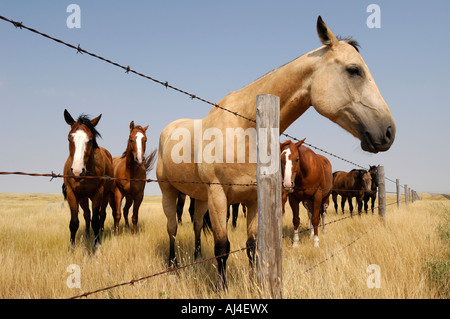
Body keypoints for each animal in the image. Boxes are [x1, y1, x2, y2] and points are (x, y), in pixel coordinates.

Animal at [62, 110, 113, 252]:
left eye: (90, 139)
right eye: (69, 138)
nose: (77, 171)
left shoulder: (97, 193)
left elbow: (96, 220)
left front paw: (97, 247)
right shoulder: (72, 194)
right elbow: (74, 222)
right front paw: (71, 248)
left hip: (105, 196)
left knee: (101, 215)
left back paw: (100, 235)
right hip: (83, 198)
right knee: (87, 214)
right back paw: (87, 234)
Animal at [156, 15, 396, 290]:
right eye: (354, 70)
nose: (388, 131)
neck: (244, 128)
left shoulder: (252, 199)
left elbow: (252, 245)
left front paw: (254, 282)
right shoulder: (218, 195)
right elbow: (222, 247)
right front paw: (222, 287)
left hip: (200, 197)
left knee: (196, 225)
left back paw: (196, 258)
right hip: (170, 191)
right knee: (172, 228)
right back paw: (173, 265)